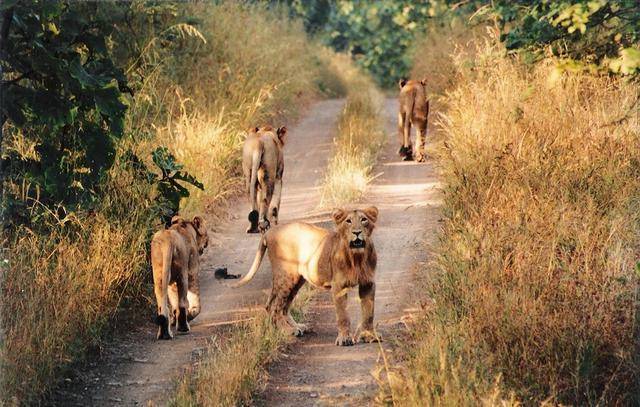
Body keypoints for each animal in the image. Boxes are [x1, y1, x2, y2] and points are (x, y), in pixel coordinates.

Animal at [229, 207, 380, 348]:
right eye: (348, 221)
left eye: (364, 220)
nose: (357, 232)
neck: (357, 258)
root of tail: (269, 231)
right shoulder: (338, 286)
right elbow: (343, 315)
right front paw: (344, 339)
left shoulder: (368, 283)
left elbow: (369, 312)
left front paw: (370, 336)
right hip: (286, 276)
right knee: (276, 307)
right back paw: (287, 330)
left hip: (296, 280)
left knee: (278, 306)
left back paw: (294, 327)